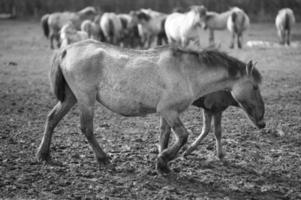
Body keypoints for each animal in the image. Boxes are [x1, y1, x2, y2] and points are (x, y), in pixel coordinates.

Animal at [36, 39, 264, 173]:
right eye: (254, 86)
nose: (262, 120)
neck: (187, 72)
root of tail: (68, 49)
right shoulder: (169, 111)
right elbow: (183, 136)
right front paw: (164, 160)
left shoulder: (167, 113)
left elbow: (165, 136)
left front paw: (162, 163)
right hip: (85, 99)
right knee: (86, 128)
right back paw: (102, 158)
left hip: (70, 98)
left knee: (52, 119)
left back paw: (43, 154)